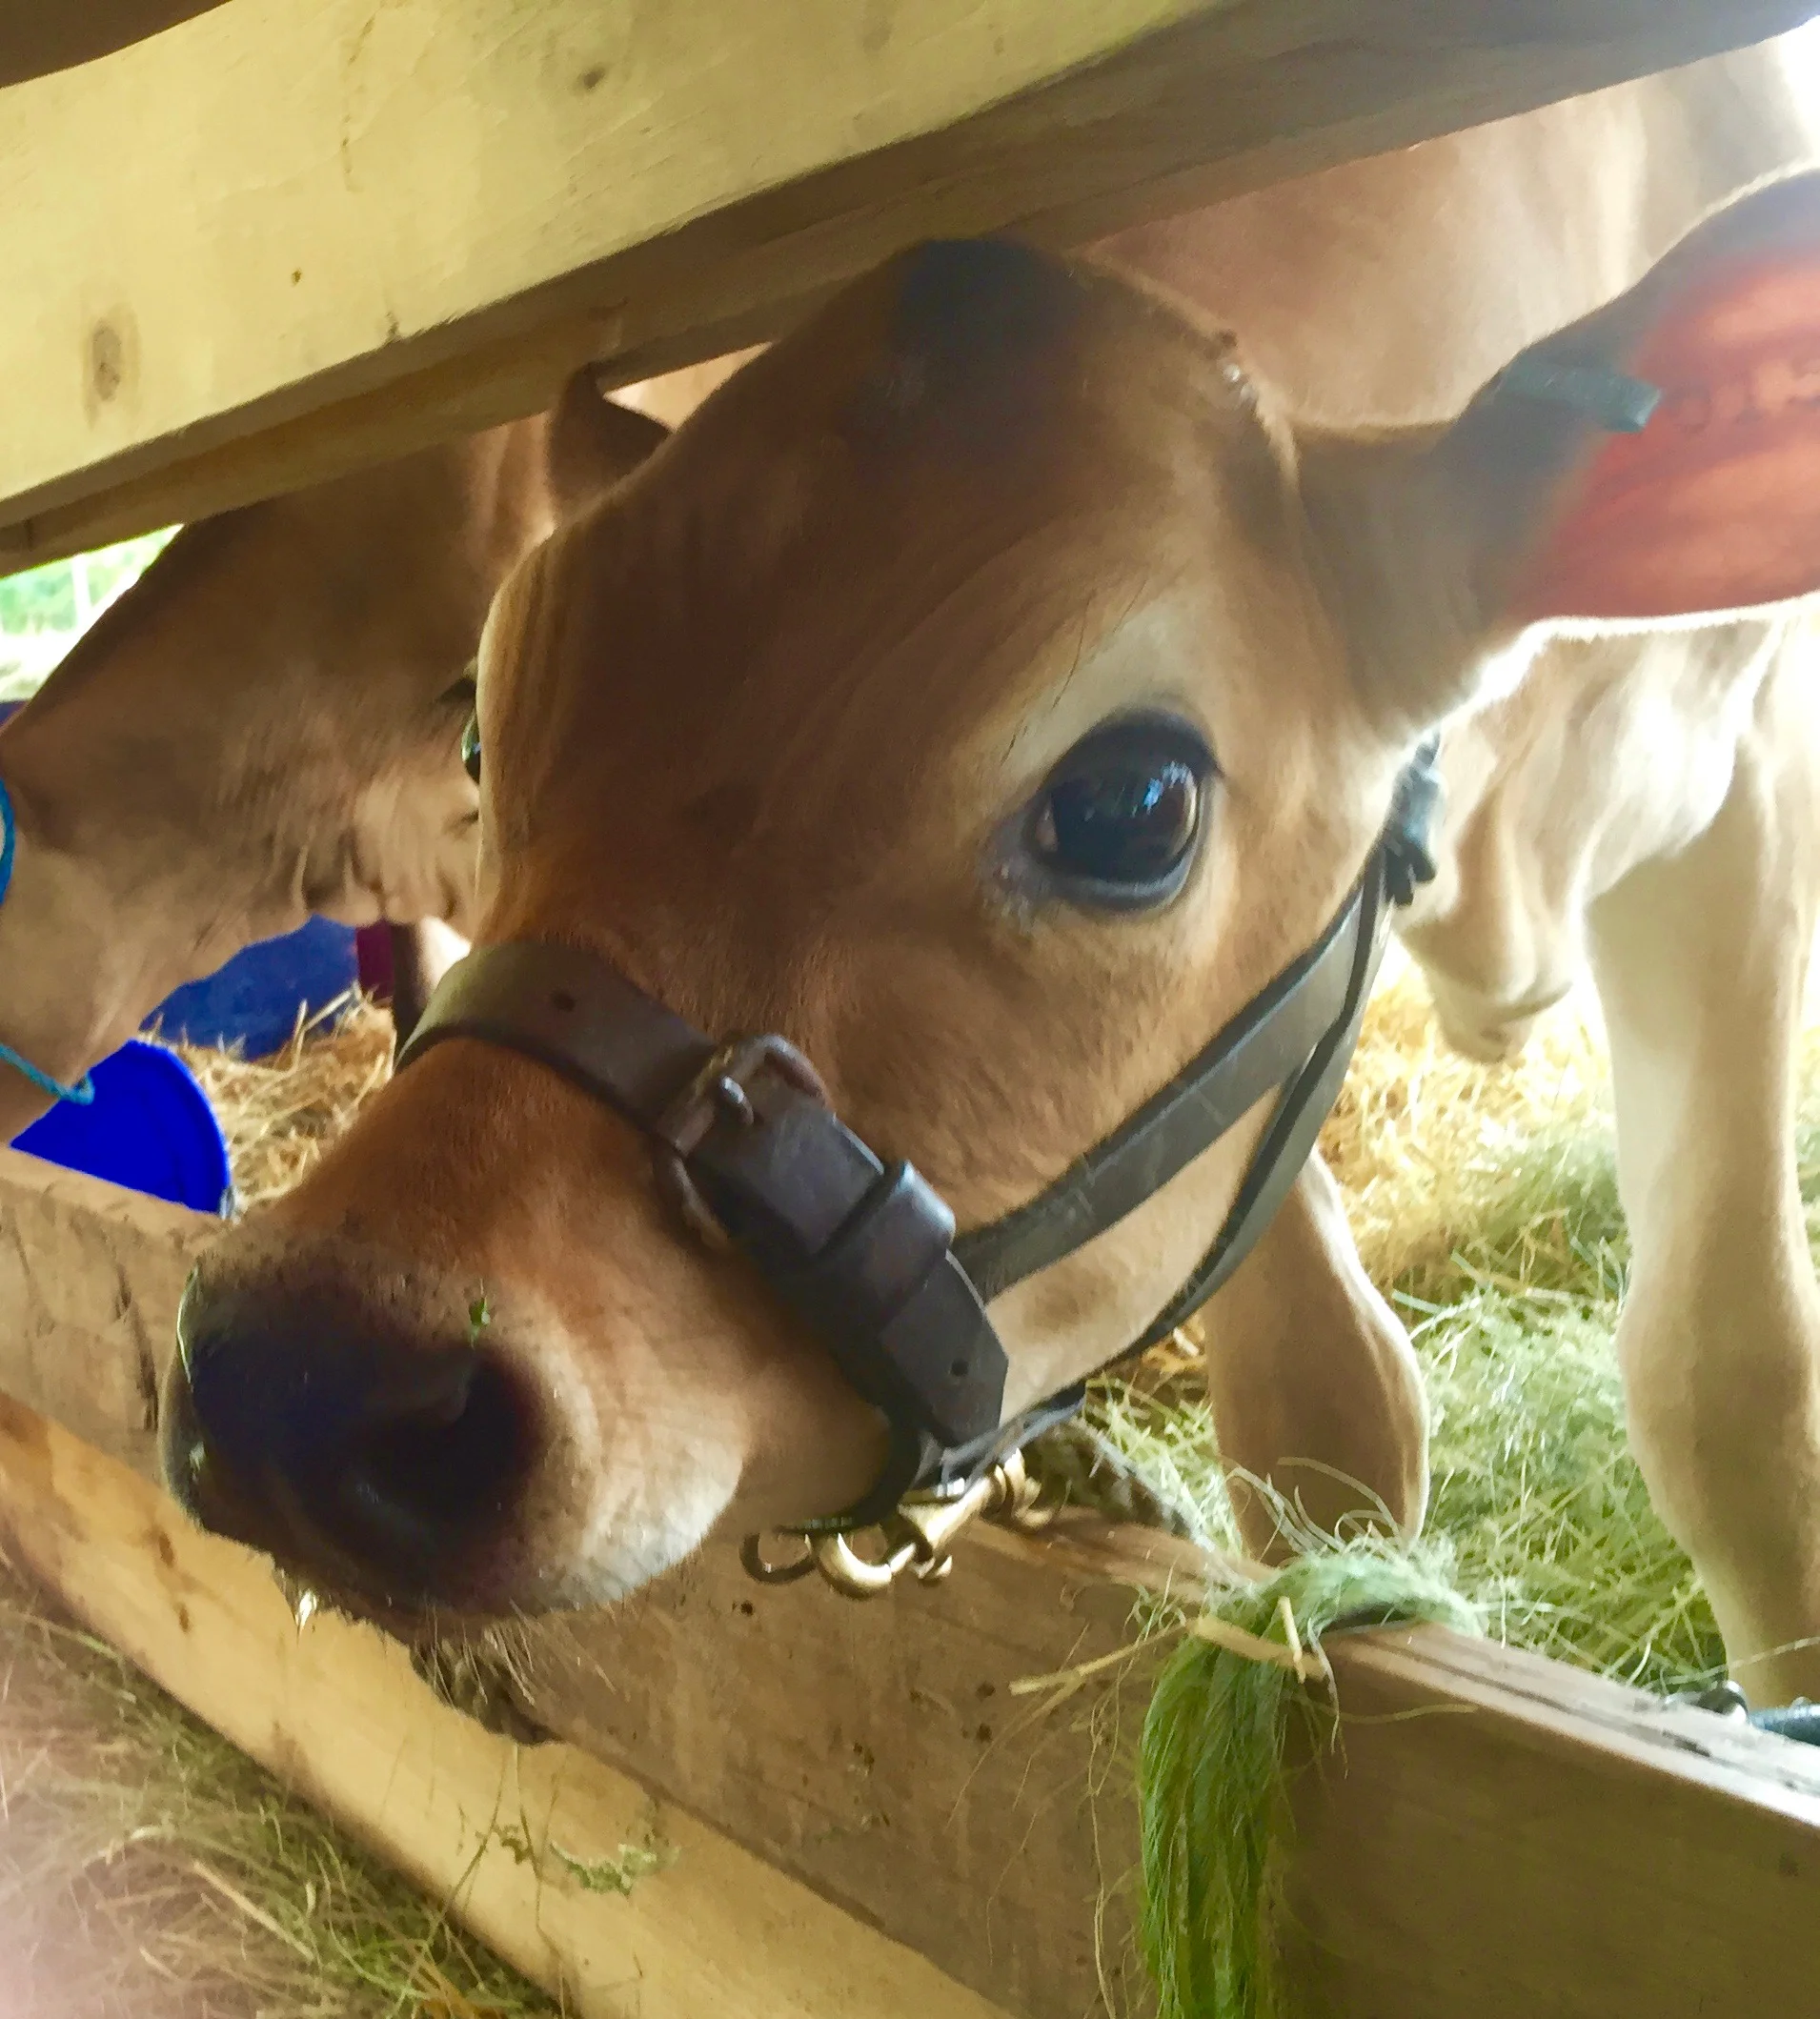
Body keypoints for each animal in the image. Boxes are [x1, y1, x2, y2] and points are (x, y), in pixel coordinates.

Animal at [157, 42, 1820, 1739]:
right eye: (483, 736)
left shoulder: (1752, 772)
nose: (306, 1375)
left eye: (1129, 805)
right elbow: (1326, 1418)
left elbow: (1728, 1381)